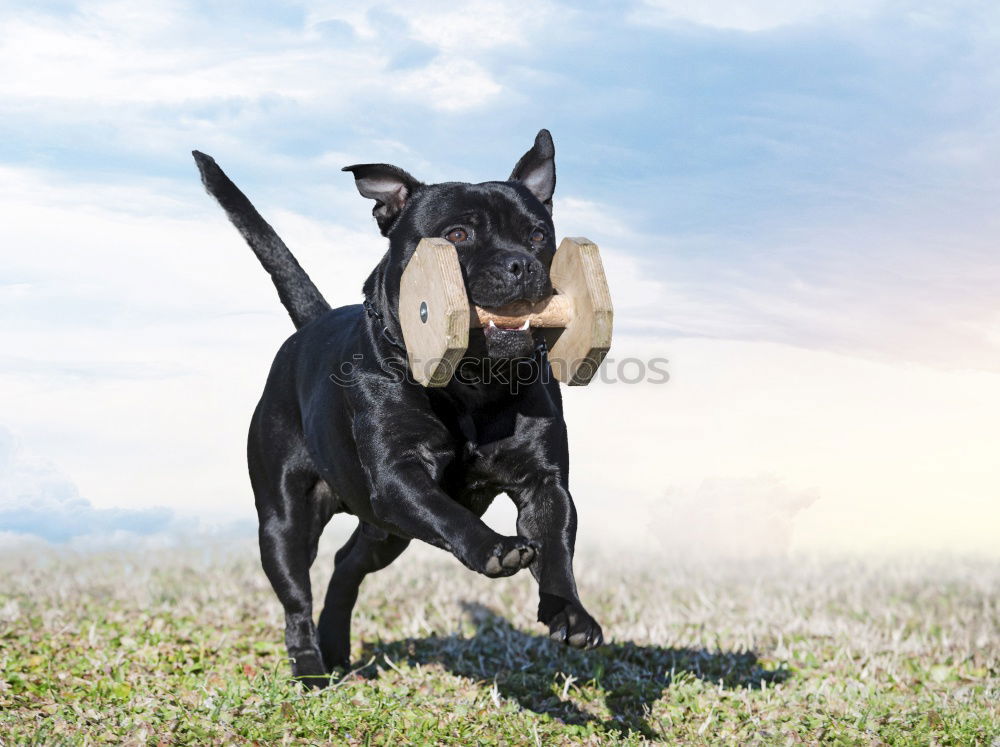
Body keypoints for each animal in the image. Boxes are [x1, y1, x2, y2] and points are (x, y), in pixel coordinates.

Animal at [193, 131, 600, 688]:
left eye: (539, 235)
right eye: (457, 234)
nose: (522, 265)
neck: (472, 385)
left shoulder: (543, 483)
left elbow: (557, 549)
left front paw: (570, 613)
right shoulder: (398, 478)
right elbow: (451, 514)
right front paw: (495, 548)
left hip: (384, 532)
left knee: (346, 564)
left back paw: (335, 645)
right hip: (285, 521)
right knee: (296, 597)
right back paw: (310, 666)